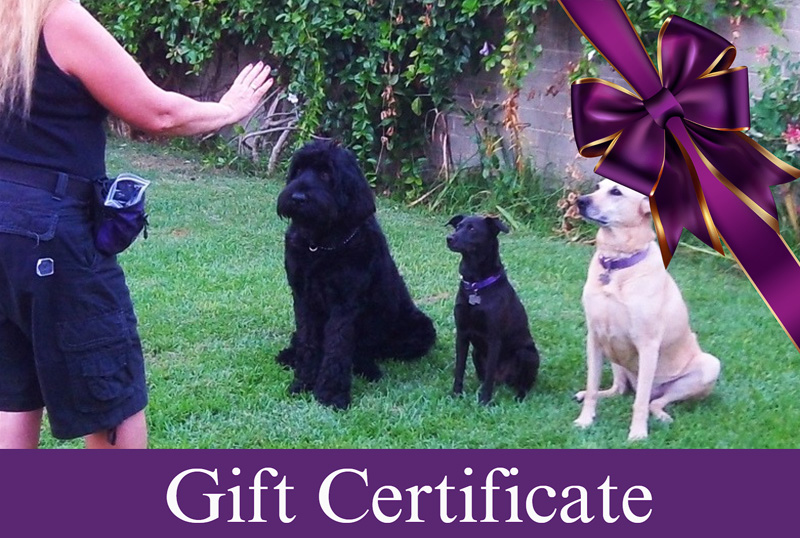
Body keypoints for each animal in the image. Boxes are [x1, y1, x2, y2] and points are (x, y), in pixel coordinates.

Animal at [275, 140, 436, 409]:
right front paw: (303, 382)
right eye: (298, 170)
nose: (297, 198)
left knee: (366, 351)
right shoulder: (303, 299)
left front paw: (331, 394)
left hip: (421, 330)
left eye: (326, 173)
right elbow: (308, 341)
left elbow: (338, 348)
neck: (322, 244)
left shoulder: (345, 305)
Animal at [446, 215, 540, 404]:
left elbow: (489, 375)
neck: (476, 286)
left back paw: (519, 397)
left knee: (523, 384)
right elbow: (459, 368)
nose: (449, 238)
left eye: (472, 229)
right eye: (458, 227)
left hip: (528, 355)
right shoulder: (462, 334)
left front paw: (484, 401)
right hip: (476, 353)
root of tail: (503, 379)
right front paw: (456, 394)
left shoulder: (494, 339)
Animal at [574, 179, 721, 440]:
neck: (617, 263)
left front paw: (637, 434)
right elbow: (592, 387)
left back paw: (662, 415)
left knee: (654, 401)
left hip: (709, 366)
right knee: (618, 389)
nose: (580, 201)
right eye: (598, 186)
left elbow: (640, 402)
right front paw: (585, 420)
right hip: (614, 354)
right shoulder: (595, 338)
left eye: (616, 192)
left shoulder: (648, 345)